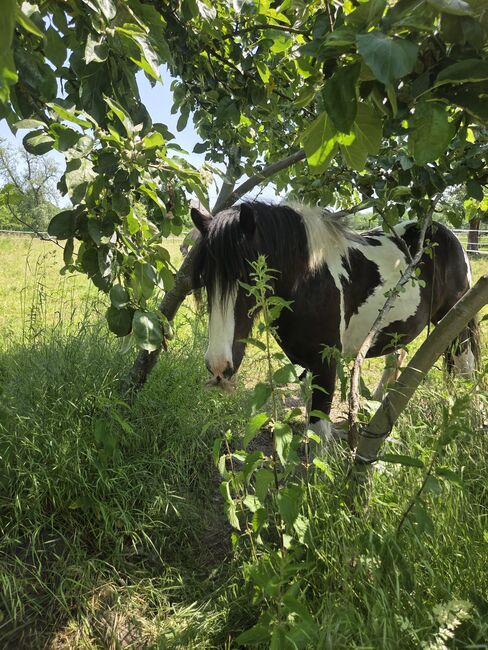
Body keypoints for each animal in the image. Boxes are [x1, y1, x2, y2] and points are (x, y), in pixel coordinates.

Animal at [190, 201, 480, 441]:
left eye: (250, 278)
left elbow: (318, 428)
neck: (308, 280)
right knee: (397, 355)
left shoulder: (326, 360)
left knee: (464, 364)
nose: (219, 367)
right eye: (204, 279)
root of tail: (447, 235)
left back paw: (469, 419)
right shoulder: (302, 361)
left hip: (456, 319)